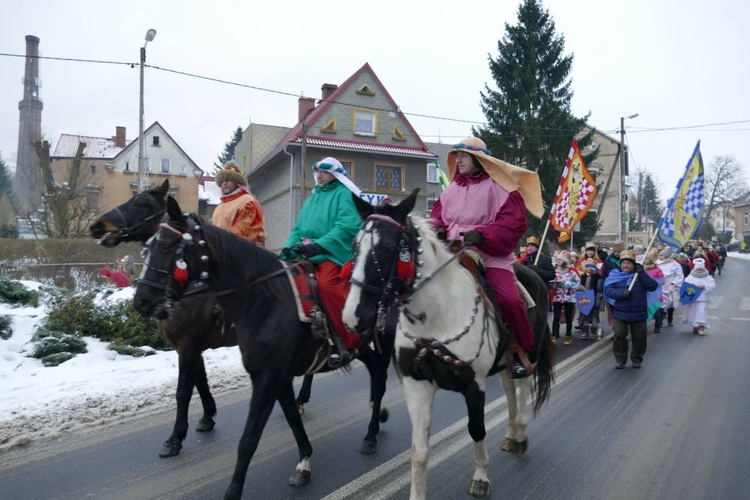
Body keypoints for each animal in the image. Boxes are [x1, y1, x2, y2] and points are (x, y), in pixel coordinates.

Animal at [89, 182, 394, 458]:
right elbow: (200, 380)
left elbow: (184, 390)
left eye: (140, 203)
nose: (97, 226)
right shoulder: (192, 346)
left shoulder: (188, 344)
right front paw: (207, 416)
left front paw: (176, 438)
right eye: (150, 248)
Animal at [344, 189, 556, 498]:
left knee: (524, 384)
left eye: (388, 247)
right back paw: (510, 434)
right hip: (505, 361)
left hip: (530, 351)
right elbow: (419, 451)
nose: (353, 317)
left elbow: (476, 430)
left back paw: (519, 433)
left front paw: (480, 477)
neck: (436, 318)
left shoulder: (474, 385)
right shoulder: (417, 384)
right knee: (508, 389)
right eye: (354, 246)